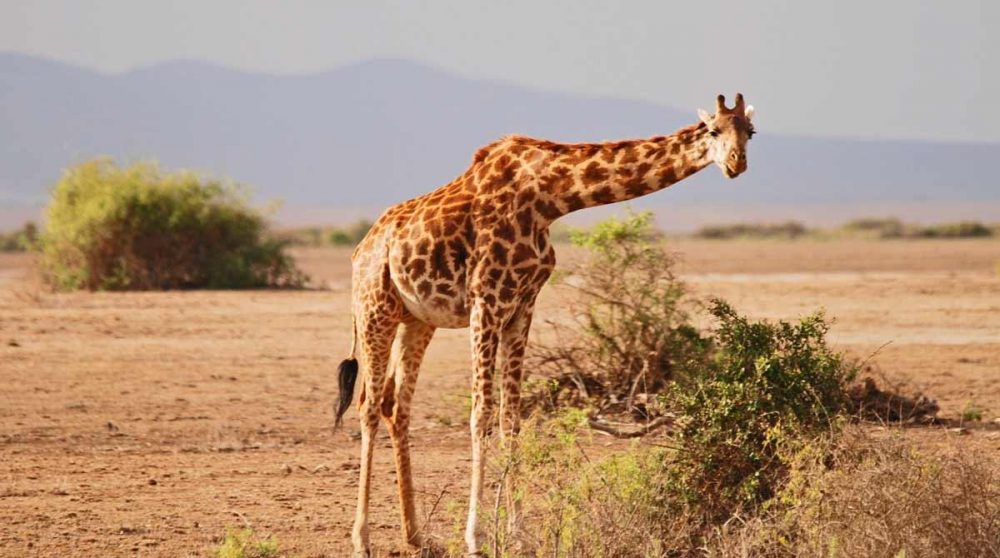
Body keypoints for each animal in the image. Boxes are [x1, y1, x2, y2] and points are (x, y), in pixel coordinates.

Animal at [335, 93, 755, 557]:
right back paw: (361, 540)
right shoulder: (486, 301)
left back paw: (416, 536)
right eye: (714, 130)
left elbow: (511, 419)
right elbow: (480, 415)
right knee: (369, 405)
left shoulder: (522, 306)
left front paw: (516, 533)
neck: (548, 198)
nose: (737, 163)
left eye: (750, 132)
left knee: (396, 405)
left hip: (417, 320)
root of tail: (362, 248)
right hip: (375, 309)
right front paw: (476, 537)